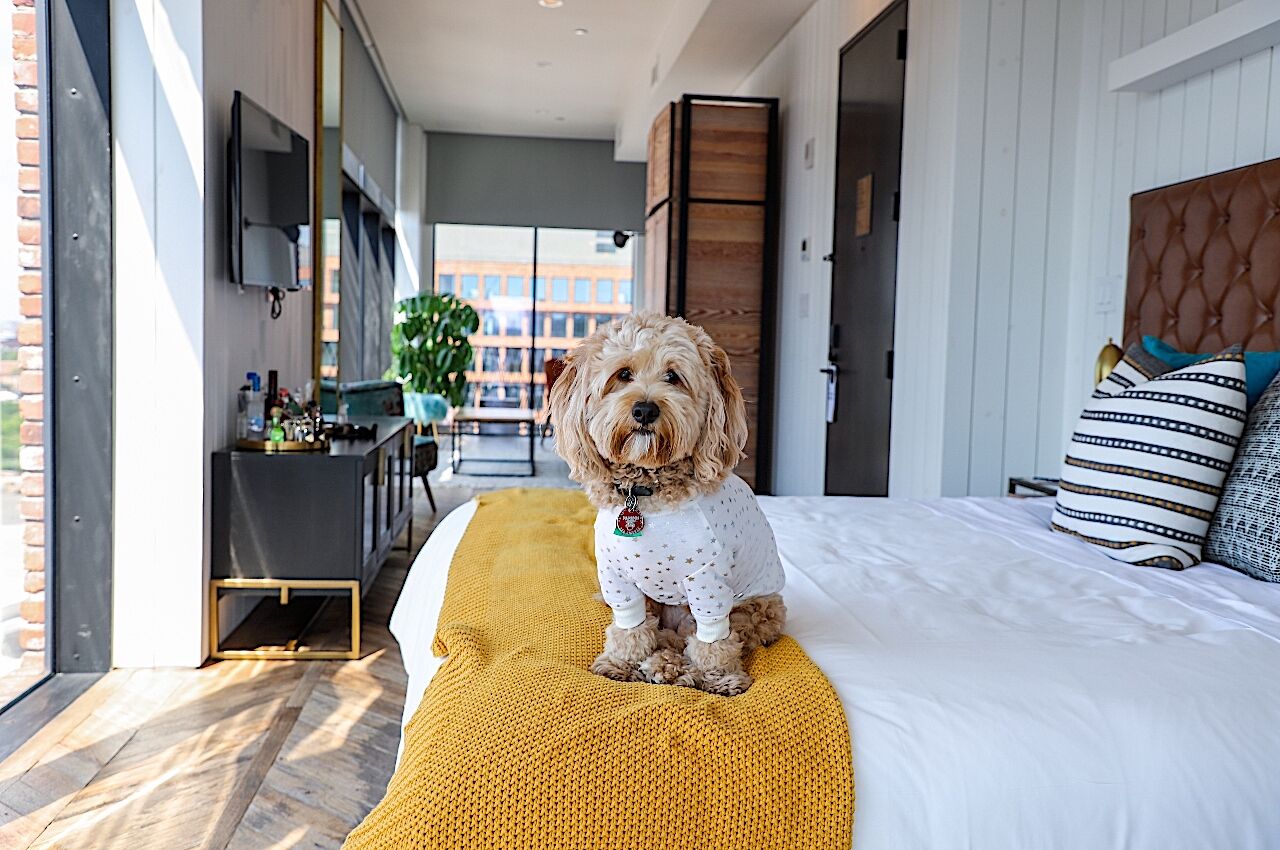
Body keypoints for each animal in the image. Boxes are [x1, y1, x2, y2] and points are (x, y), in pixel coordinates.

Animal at [545, 313, 783, 696]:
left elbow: (714, 641)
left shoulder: (708, 580)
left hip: (755, 608)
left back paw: (671, 667)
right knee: (662, 633)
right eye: (623, 374)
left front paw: (722, 678)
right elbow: (629, 627)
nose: (644, 409)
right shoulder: (616, 575)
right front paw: (619, 663)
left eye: (673, 376)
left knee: (702, 637)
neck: (646, 491)